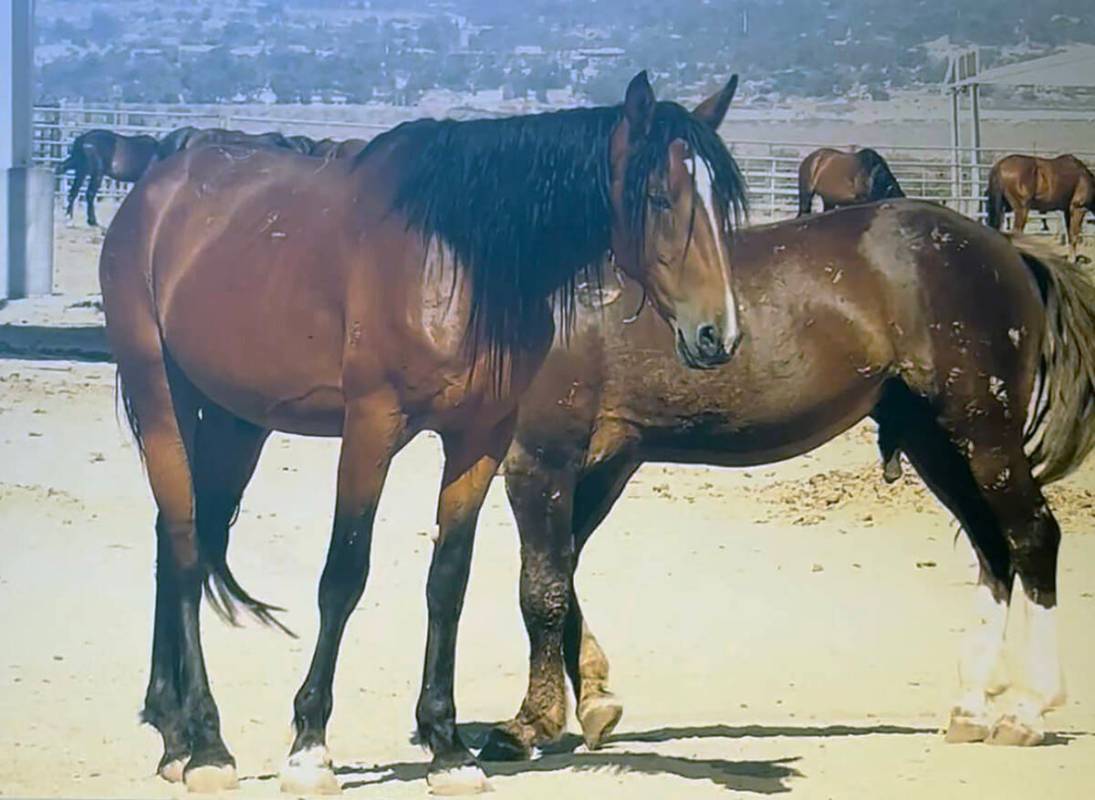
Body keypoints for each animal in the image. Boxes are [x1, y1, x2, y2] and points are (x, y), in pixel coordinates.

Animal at [102, 73, 748, 796]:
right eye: (659, 196)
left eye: (721, 204)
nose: (717, 335)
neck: (458, 256)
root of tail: (154, 191)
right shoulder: (371, 429)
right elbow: (343, 577)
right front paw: (309, 746)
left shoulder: (478, 439)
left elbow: (448, 581)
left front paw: (446, 745)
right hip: (162, 396)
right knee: (187, 550)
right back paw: (208, 746)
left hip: (235, 422)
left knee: (178, 534)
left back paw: (172, 732)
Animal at [479, 200, 1095, 761]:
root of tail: (1006, 250)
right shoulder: (601, 465)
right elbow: (562, 575)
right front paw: (594, 703)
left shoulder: (541, 460)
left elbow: (541, 588)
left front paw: (527, 725)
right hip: (937, 443)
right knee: (994, 546)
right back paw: (972, 707)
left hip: (983, 432)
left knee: (1033, 536)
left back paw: (1027, 711)